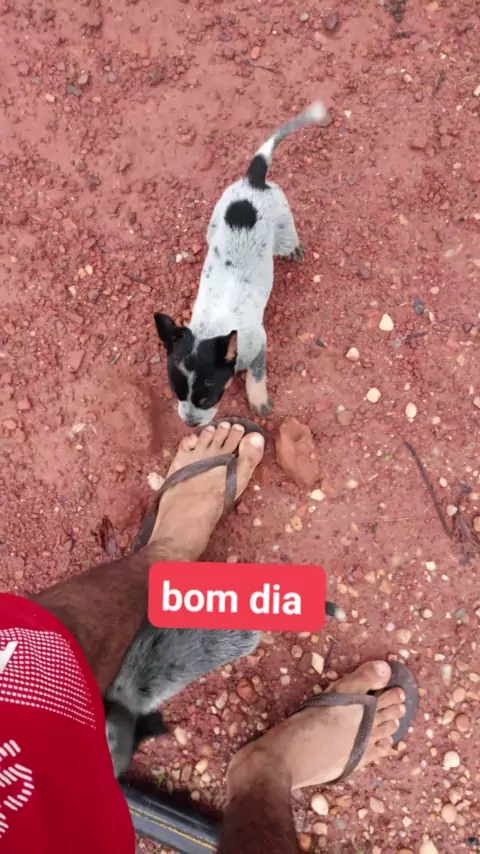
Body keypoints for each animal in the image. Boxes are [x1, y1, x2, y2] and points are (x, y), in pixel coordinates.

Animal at [154, 100, 329, 427]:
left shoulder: (258, 342)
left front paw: (257, 398)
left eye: (208, 398)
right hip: (215, 220)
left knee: (289, 239)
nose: (190, 423)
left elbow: (257, 374)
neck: (212, 327)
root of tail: (253, 181)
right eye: (176, 393)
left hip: (283, 227)